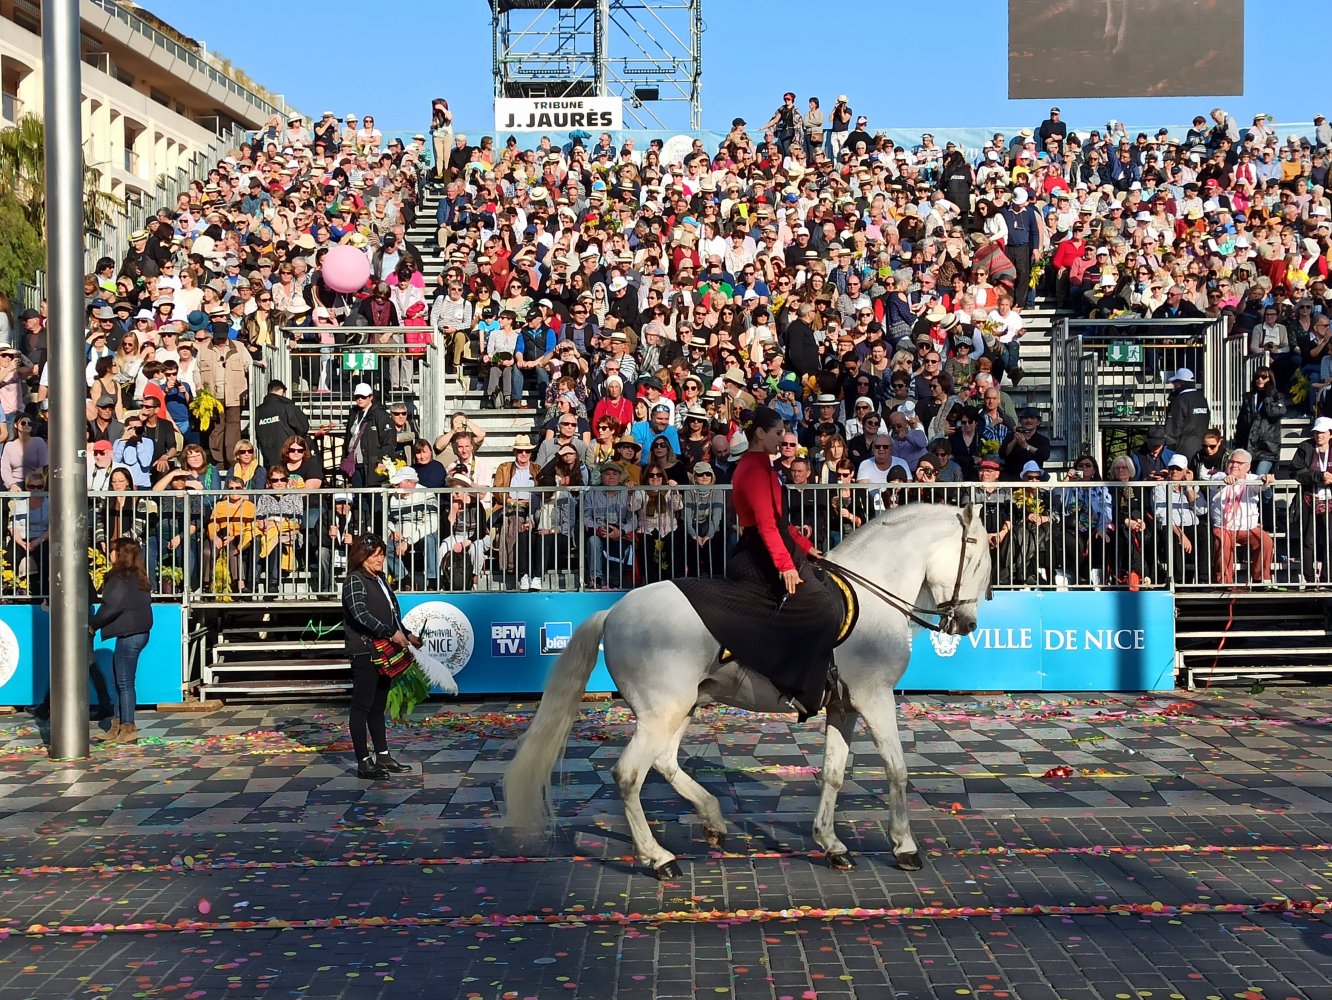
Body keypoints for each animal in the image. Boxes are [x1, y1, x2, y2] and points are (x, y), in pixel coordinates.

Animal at [500, 503, 991, 878]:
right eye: (977, 560)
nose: (967, 625)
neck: (871, 598)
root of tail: (613, 611)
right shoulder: (875, 698)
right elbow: (897, 769)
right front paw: (904, 847)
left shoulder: (845, 708)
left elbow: (833, 773)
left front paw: (831, 844)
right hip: (663, 713)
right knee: (629, 774)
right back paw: (658, 858)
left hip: (680, 708)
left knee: (664, 761)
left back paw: (712, 818)